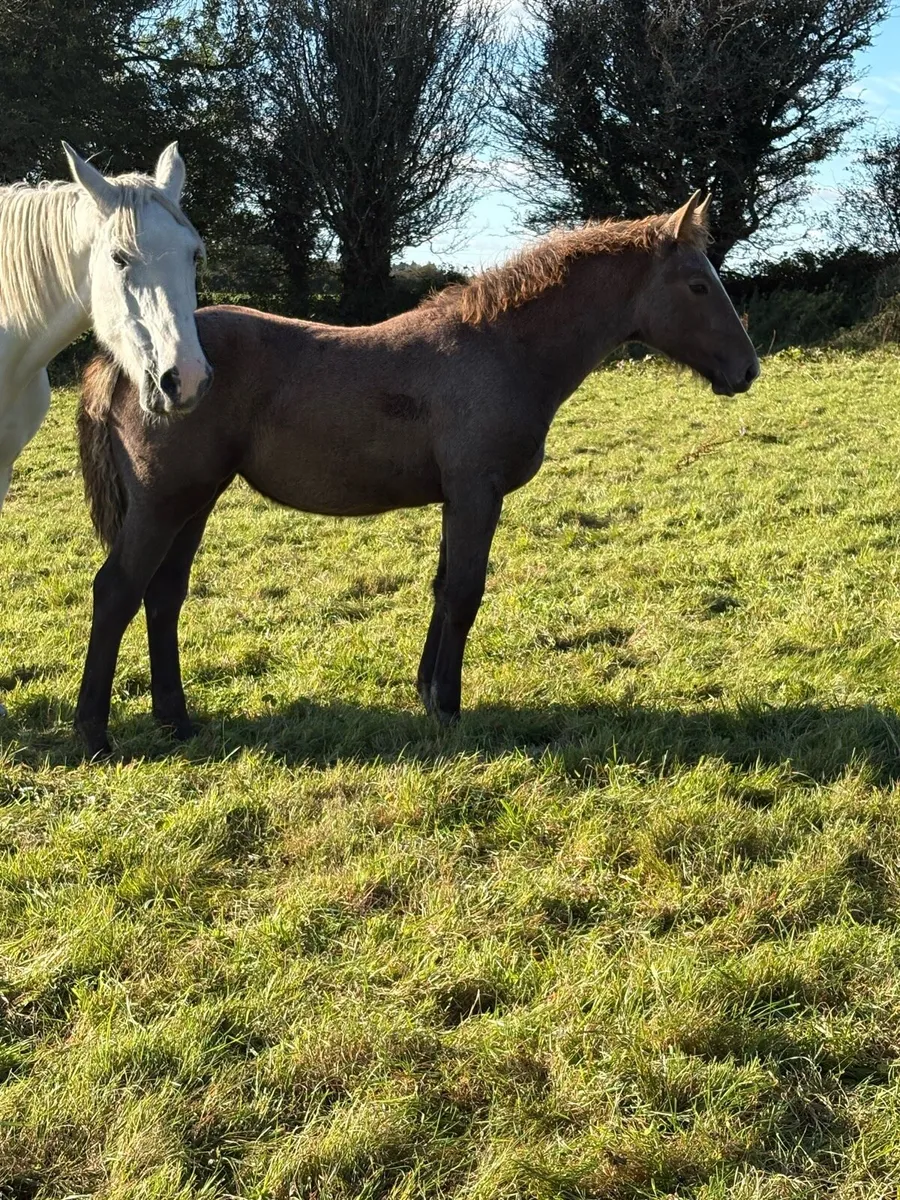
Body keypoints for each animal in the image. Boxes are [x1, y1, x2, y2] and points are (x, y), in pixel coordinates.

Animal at [73, 191, 759, 757]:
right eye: (698, 285)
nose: (747, 369)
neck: (501, 348)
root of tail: (135, 363)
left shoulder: (458, 500)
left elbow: (442, 587)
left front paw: (429, 692)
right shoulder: (477, 493)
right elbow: (464, 593)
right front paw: (449, 707)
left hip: (194, 504)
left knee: (163, 596)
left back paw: (177, 721)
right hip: (164, 506)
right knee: (116, 592)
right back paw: (94, 735)